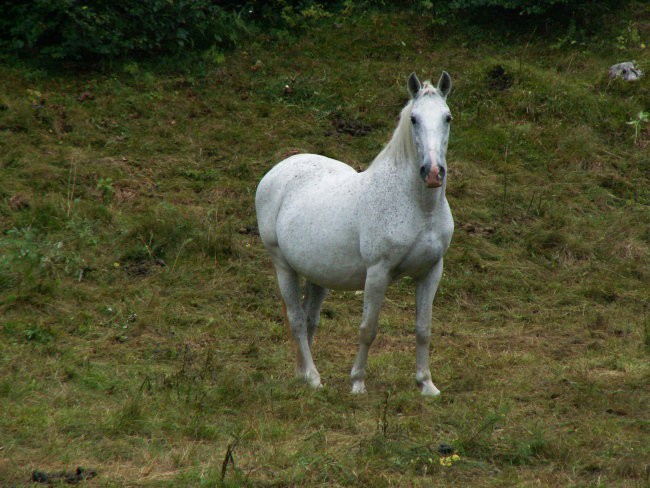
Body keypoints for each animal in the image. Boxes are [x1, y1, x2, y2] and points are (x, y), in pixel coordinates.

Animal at [256, 70, 454, 394]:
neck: (418, 207)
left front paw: (426, 384)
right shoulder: (377, 273)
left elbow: (423, 328)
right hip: (282, 265)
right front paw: (358, 383)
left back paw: (302, 373)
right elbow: (367, 329)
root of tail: (278, 170)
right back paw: (314, 378)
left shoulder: (431, 271)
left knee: (309, 320)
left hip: (317, 273)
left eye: (447, 117)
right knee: (296, 320)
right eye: (414, 119)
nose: (433, 173)